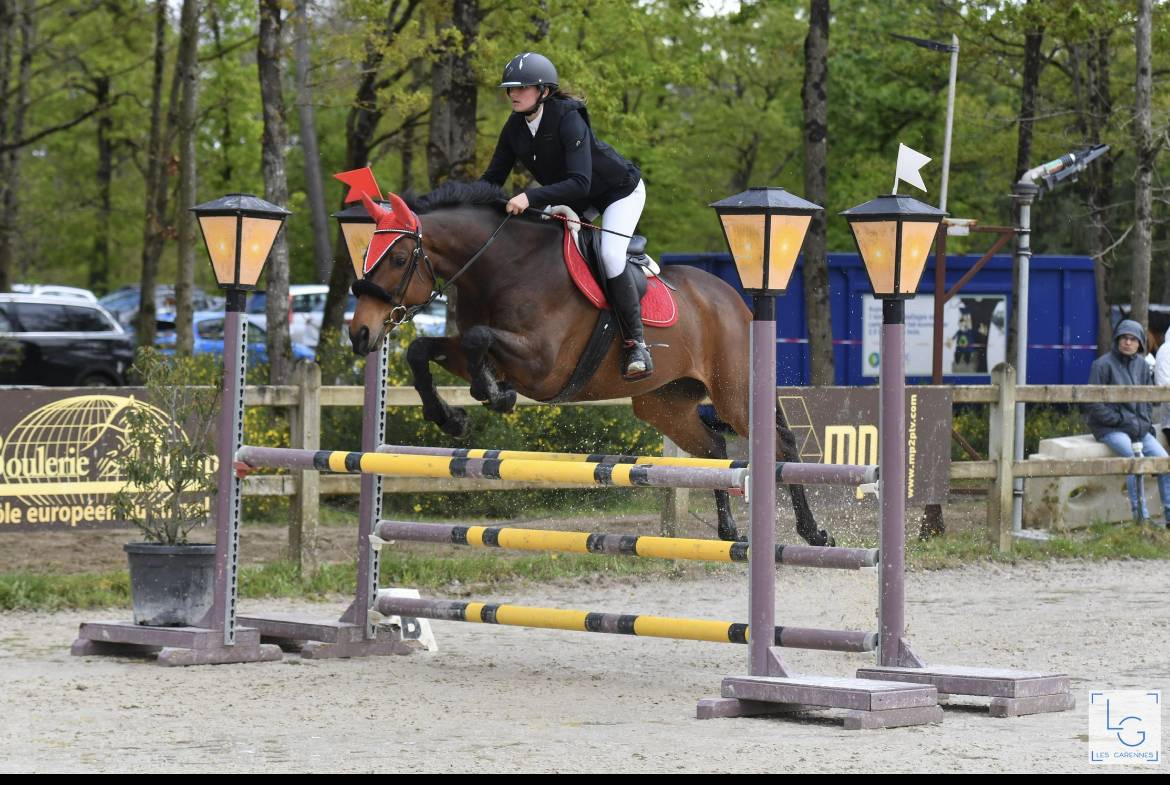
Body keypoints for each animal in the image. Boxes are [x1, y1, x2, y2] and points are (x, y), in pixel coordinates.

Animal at [347, 181, 831, 546]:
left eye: (399, 258)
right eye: (366, 254)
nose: (360, 334)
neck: (502, 265)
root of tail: (736, 301)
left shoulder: (542, 365)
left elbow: (477, 338)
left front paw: (495, 396)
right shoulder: (481, 354)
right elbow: (425, 349)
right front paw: (451, 417)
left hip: (734, 393)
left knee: (781, 446)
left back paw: (813, 533)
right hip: (663, 405)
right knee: (713, 448)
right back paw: (730, 531)